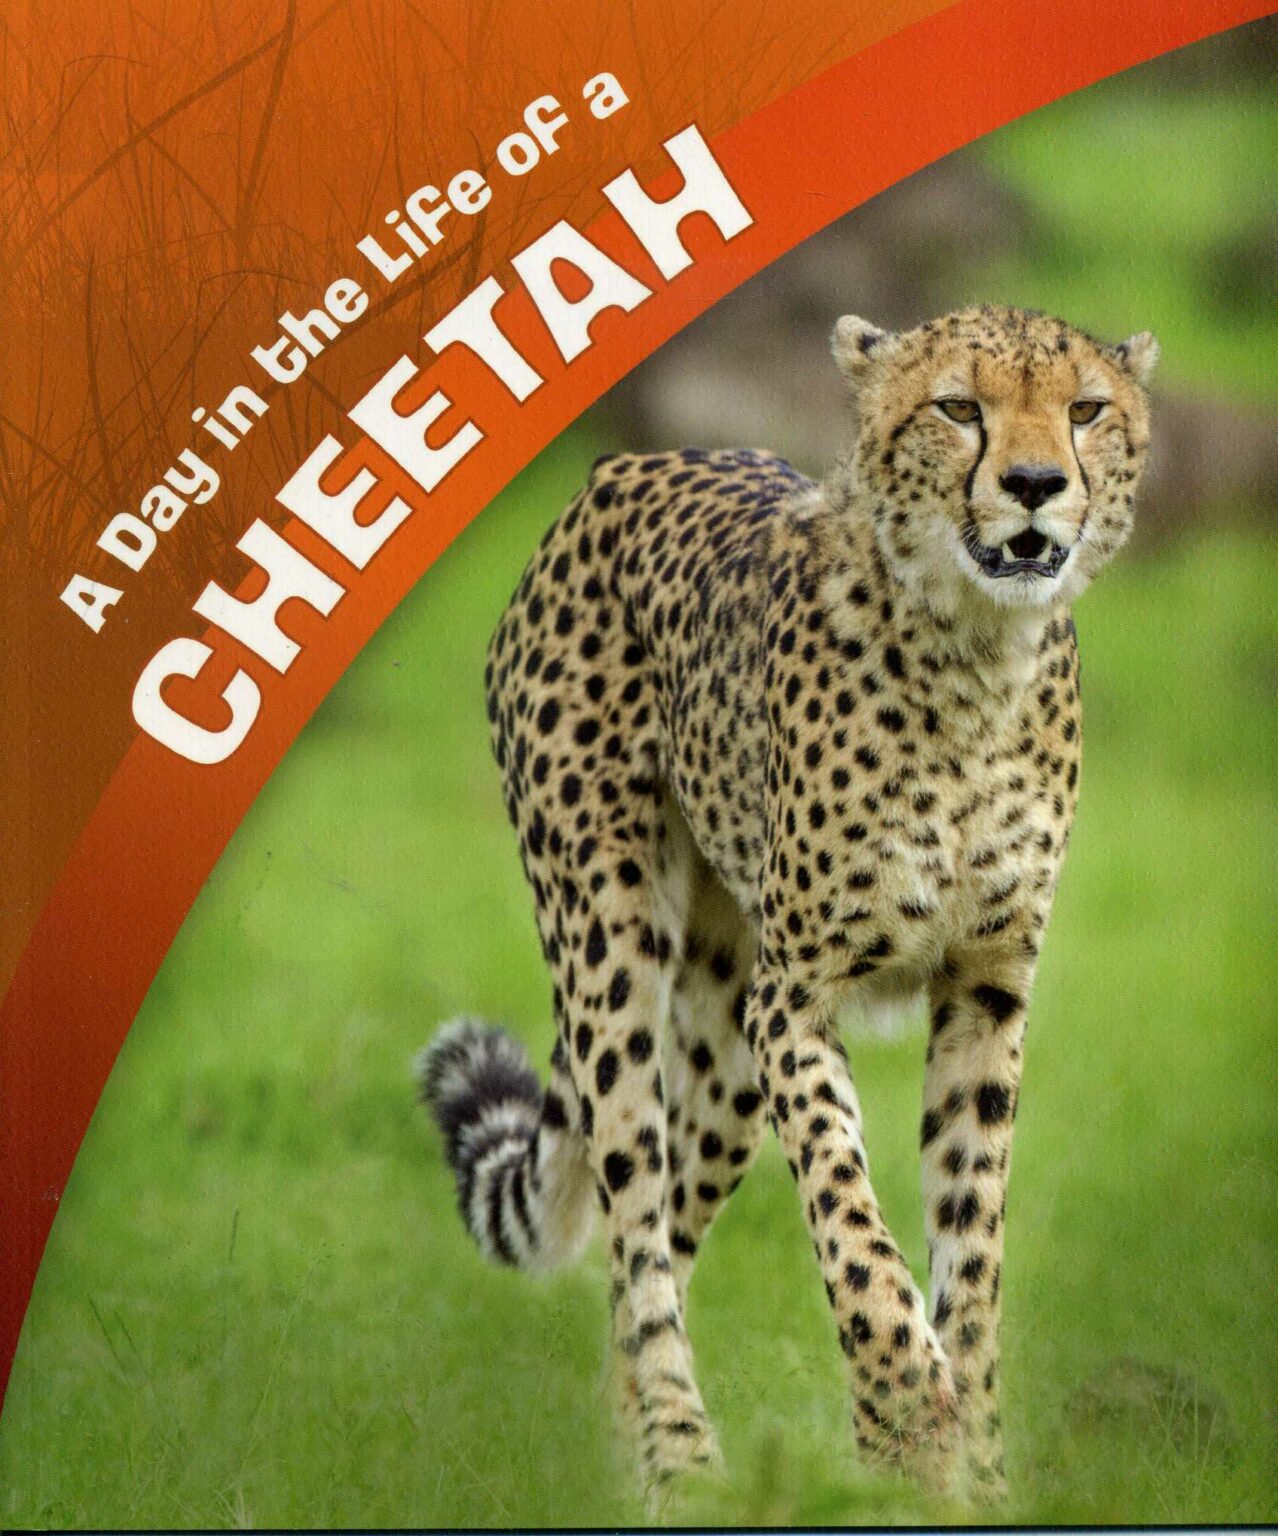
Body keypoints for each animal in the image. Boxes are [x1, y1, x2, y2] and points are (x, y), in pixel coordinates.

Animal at [416, 303, 1157, 1504]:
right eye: (960, 407)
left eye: (1087, 408)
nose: (1038, 483)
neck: (976, 658)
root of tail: (628, 465)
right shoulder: (797, 999)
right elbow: (851, 1219)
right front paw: (905, 1406)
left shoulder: (987, 988)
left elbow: (972, 1243)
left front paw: (970, 1474)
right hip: (610, 943)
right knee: (633, 1217)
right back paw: (680, 1462)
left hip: (724, 1040)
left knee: (662, 1223)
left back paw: (635, 1455)